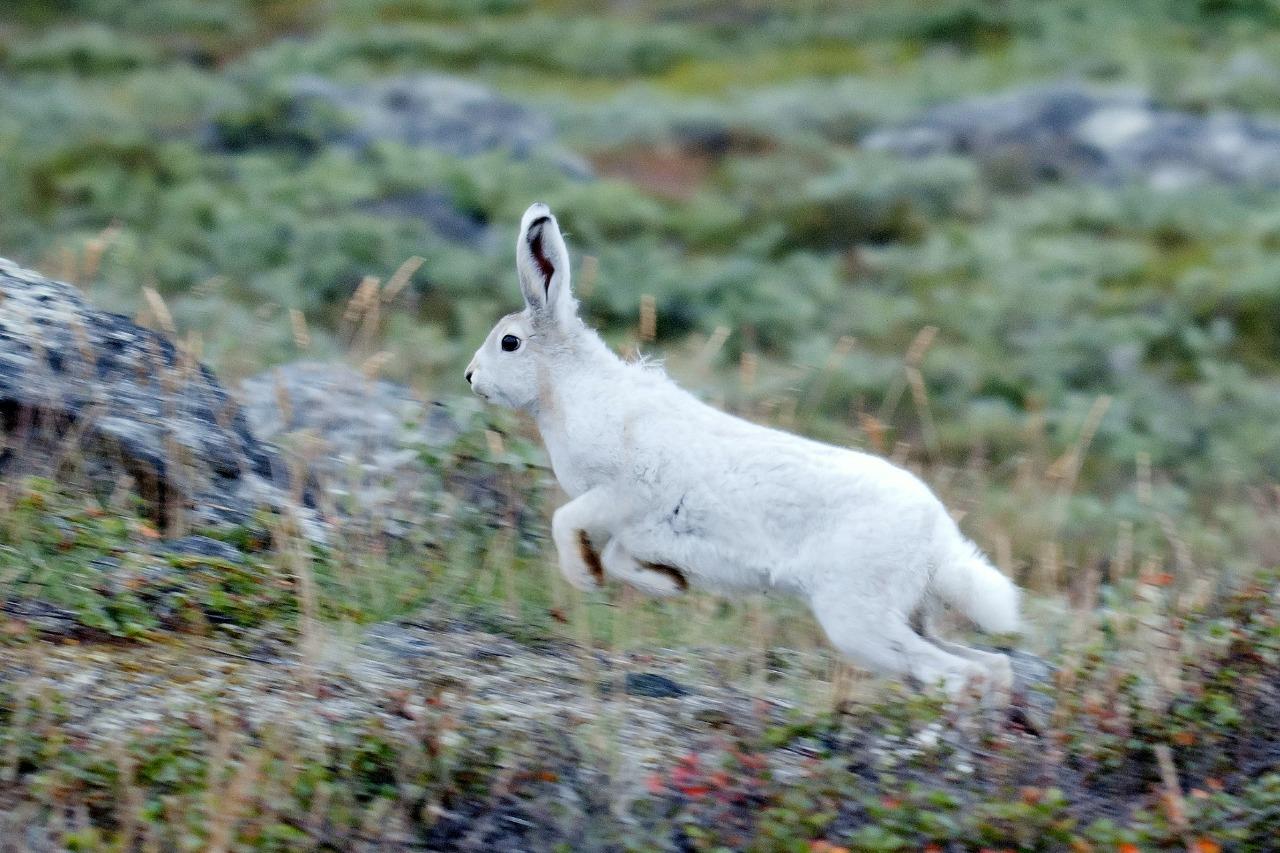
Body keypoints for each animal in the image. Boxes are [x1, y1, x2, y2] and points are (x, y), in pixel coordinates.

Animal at [466, 202, 1020, 700]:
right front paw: (668, 584)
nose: (471, 377)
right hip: (907, 614)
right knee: (988, 665)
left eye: (509, 343)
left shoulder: (623, 495)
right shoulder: (641, 529)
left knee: (954, 671)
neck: (566, 389)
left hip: (859, 617)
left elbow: (565, 522)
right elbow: (622, 557)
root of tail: (936, 542)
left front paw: (585, 577)